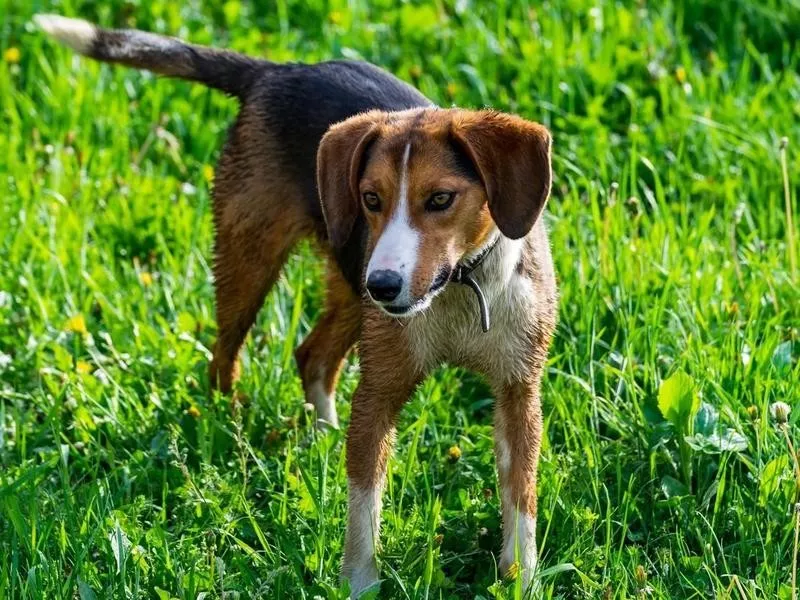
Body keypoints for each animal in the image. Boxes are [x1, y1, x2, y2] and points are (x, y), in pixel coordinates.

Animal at [36, 14, 556, 596]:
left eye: (441, 199)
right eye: (371, 198)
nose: (384, 285)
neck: (459, 287)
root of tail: (277, 70)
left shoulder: (518, 392)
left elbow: (520, 498)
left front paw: (521, 578)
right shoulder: (378, 392)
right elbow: (363, 510)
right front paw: (360, 584)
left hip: (348, 289)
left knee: (313, 356)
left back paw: (322, 438)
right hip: (252, 260)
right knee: (224, 359)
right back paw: (232, 435)